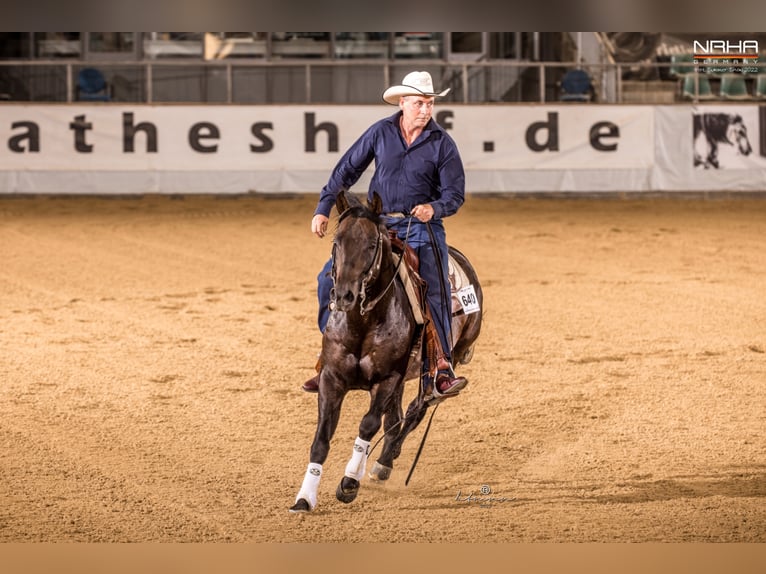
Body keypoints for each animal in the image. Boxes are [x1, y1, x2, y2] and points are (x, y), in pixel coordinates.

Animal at [292, 191, 484, 516]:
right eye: (337, 242)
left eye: (372, 244)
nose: (343, 296)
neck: (364, 321)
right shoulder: (331, 379)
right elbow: (321, 439)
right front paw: (305, 498)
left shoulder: (387, 378)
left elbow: (369, 424)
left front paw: (349, 482)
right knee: (395, 419)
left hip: (442, 362)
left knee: (416, 410)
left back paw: (382, 463)